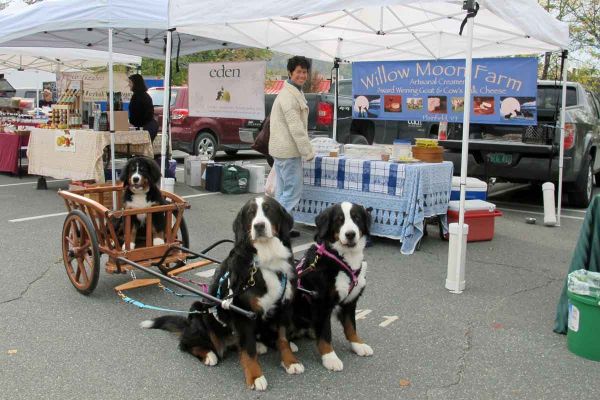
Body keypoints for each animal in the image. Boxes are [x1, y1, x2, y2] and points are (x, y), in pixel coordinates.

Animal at [142, 197, 304, 390]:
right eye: (250, 213)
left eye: (269, 209)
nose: (258, 226)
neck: (267, 260)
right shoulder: (242, 312)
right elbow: (248, 351)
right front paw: (255, 376)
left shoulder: (284, 306)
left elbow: (283, 338)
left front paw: (291, 362)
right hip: (200, 311)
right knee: (187, 343)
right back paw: (209, 354)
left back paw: (261, 344)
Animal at [292, 203, 372, 372]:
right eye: (338, 220)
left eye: (356, 218)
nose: (350, 234)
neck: (343, 258)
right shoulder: (321, 302)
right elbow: (325, 333)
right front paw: (330, 357)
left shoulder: (350, 302)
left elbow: (351, 326)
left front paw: (358, 345)